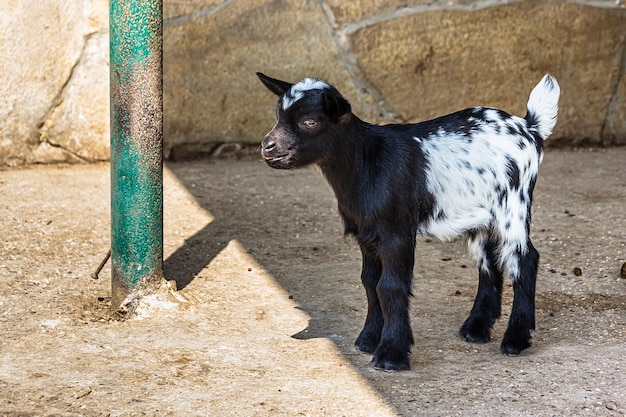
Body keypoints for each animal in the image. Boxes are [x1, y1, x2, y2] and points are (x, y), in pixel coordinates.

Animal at [256, 71, 560, 370]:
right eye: (278, 116)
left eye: (310, 121)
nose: (268, 147)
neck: (367, 160)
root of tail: (528, 126)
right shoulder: (368, 233)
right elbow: (370, 282)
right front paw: (368, 339)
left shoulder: (397, 230)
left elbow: (390, 286)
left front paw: (391, 353)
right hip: (481, 215)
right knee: (489, 261)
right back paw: (476, 329)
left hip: (514, 205)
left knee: (525, 259)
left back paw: (515, 339)